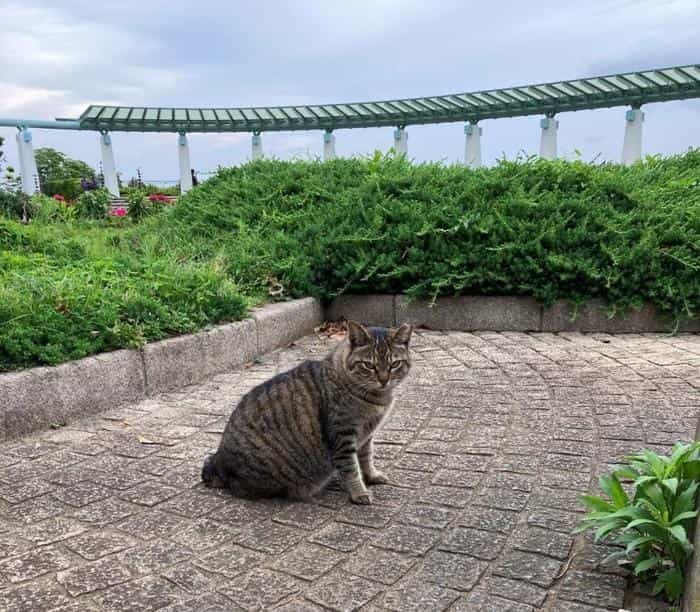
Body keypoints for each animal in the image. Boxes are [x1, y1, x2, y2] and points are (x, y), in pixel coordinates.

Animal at [201, 320, 410, 502]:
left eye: (394, 364)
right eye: (369, 365)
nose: (383, 380)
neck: (377, 399)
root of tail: (219, 461)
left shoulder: (367, 435)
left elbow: (366, 458)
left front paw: (371, 476)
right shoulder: (343, 435)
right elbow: (351, 468)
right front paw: (359, 492)